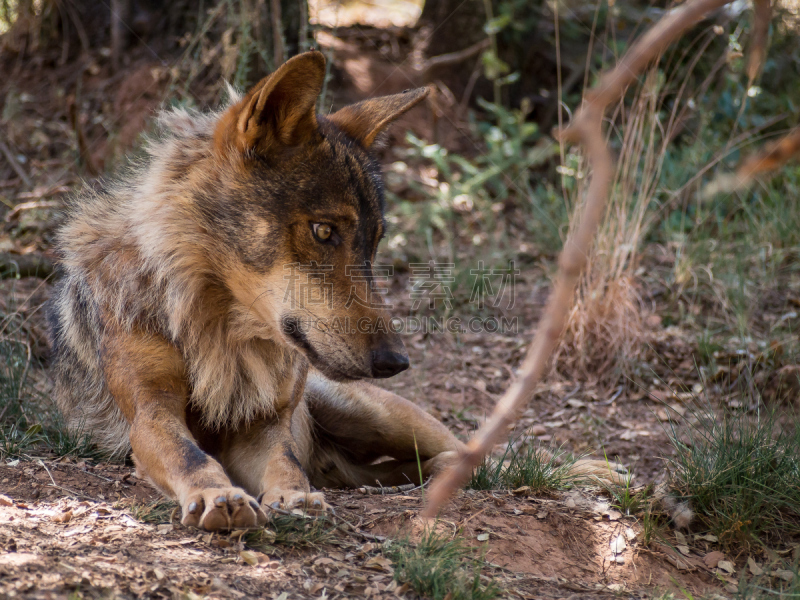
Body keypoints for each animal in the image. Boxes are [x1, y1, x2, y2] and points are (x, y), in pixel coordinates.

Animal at [48, 51, 462, 528]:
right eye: (324, 231)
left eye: (373, 243)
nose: (397, 361)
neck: (220, 327)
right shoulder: (150, 411)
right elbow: (189, 455)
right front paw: (217, 495)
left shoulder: (264, 425)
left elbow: (286, 463)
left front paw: (296, 497)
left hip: (366, 411)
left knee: (464, 450)